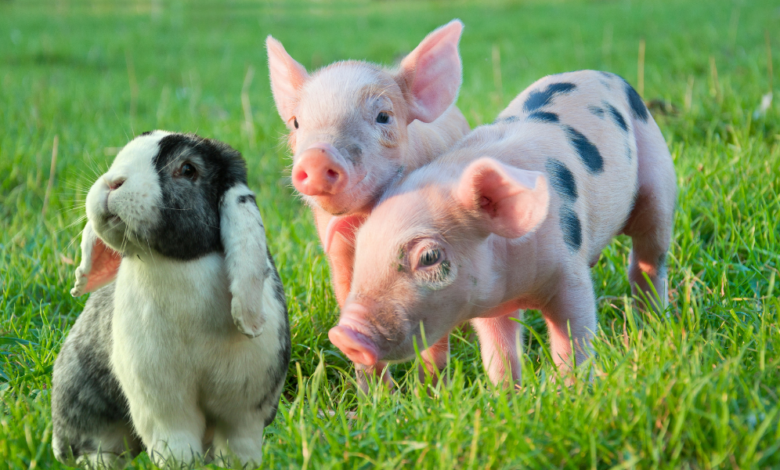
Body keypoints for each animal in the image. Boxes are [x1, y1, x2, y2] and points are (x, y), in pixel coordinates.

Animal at [51, 131, 291, 468]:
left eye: (188, 169)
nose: (112, 182)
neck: (177, 263)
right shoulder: (162, 403)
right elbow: (176, 446)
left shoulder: (244, 409)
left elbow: (238, 448)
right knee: (97, 449)